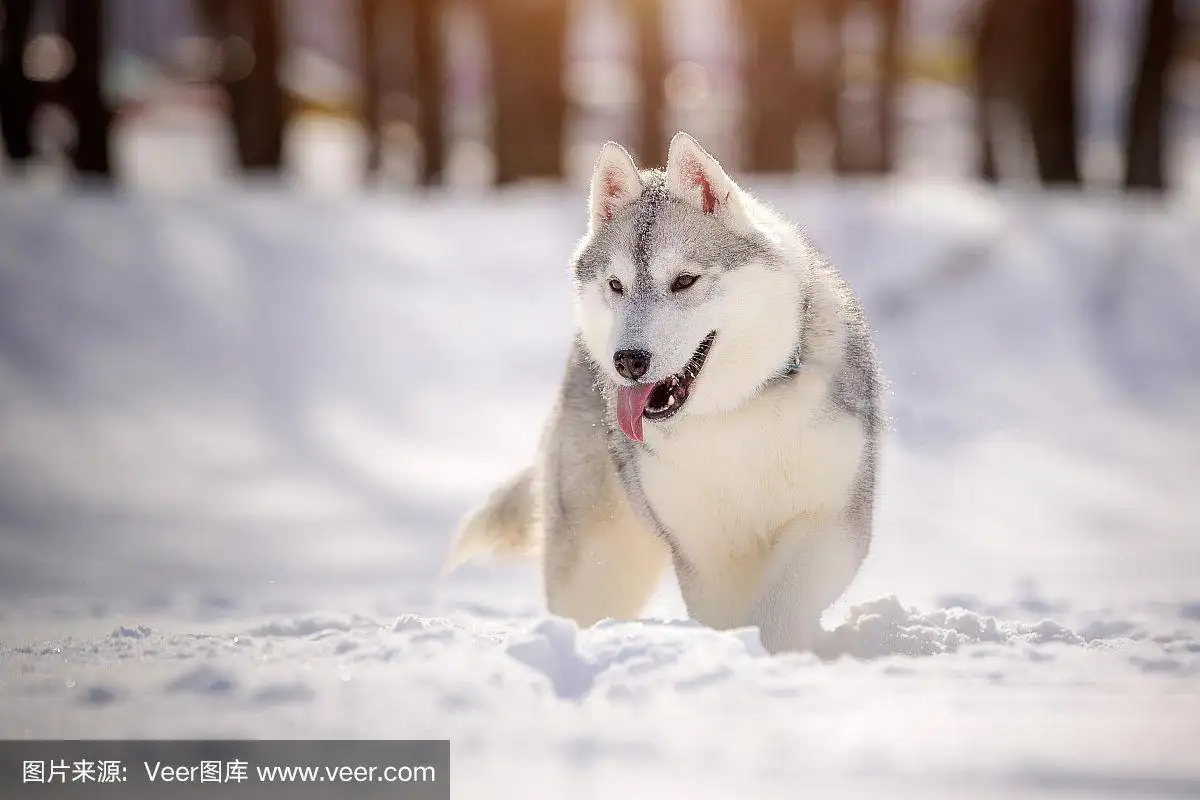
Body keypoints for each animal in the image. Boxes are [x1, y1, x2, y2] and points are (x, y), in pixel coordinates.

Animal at [441, 133, 883, 657]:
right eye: (616, 285)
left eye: (684, 280)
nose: (629, 361)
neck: (737, 412)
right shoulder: (706, 554)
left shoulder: (830, 522)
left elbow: (779, 612)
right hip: (597, 564)